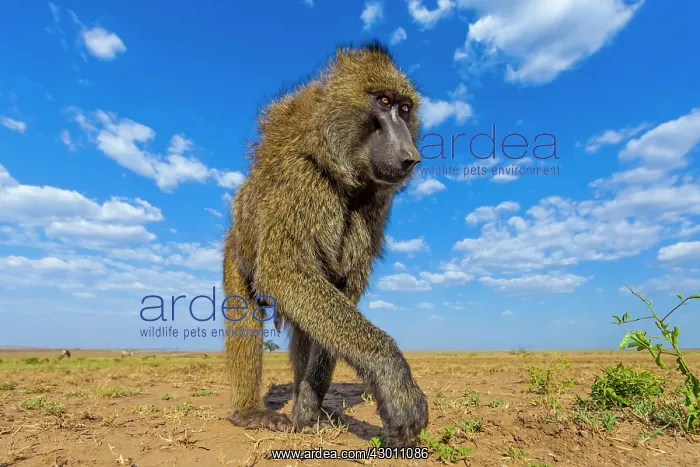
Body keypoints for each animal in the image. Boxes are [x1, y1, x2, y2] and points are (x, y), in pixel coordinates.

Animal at [223, 40, 428, 447]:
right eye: (383, 101)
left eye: (405, 108)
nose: (410, 156)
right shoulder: (300, 181)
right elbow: (283, 273)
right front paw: (394, 381)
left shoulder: (376, 205)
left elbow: (345, 288)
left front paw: (307, 408)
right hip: (235, 253)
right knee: (246, 311)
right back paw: (248, 413)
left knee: (308, 327)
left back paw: (309, 401)